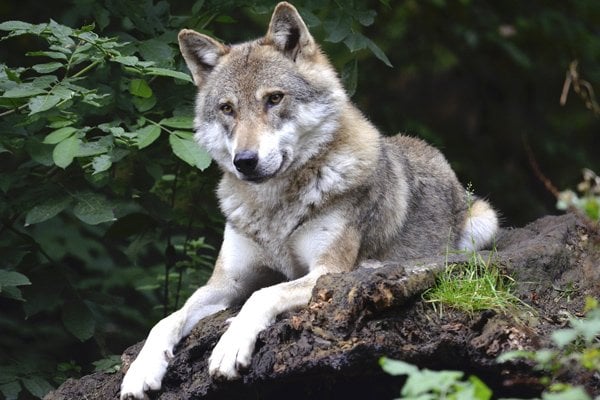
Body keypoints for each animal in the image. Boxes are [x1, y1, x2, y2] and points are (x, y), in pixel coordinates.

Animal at [119, 1, 500, 398]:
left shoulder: (324, 270)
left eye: (274, 99)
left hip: (484, 222)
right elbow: (167, 319)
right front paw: (141, 370)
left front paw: (229, 347)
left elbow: (262, 295)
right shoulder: (225, 284)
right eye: (227, 109)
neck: (274, 208)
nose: (245, 161)